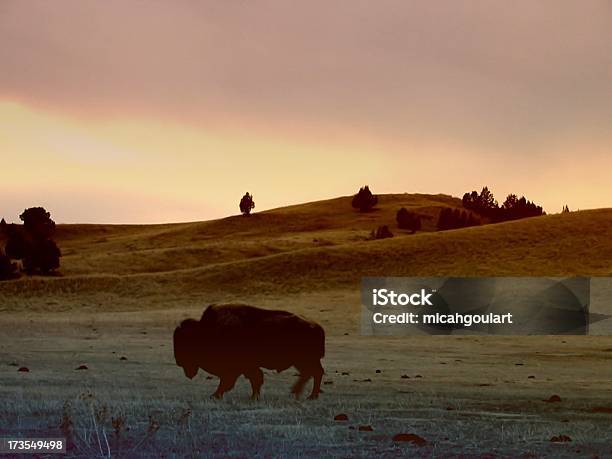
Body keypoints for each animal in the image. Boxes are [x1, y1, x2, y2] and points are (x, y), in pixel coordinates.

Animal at [172, 308, 326, 400]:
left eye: (185, 342)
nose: (179, 361)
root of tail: (316, 326)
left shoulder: (238, 368)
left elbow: (242, 380)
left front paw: (215, 395)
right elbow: (255, 379)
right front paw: (254, 396)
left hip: (305, 360)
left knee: (314, 373)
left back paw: (310, 395)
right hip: (302, 361)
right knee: (311, 373)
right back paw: (297, 393)